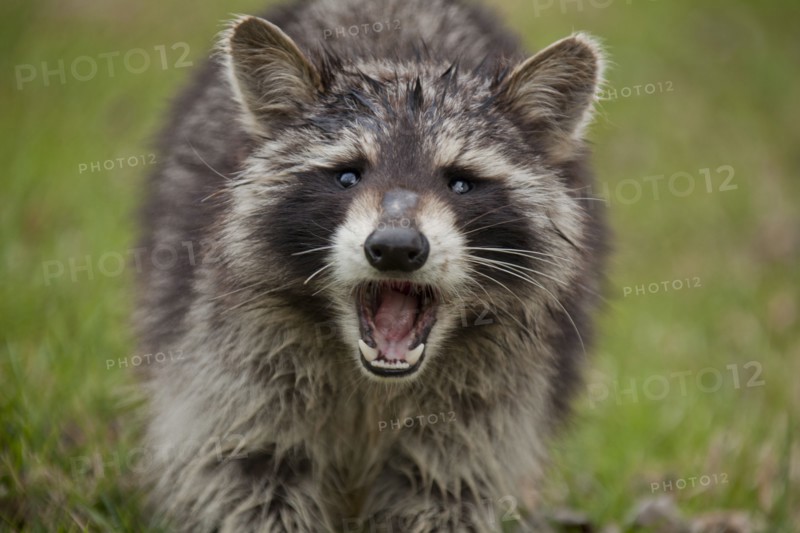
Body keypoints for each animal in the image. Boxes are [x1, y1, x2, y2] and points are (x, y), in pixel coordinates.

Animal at [135, 0, 607, 530]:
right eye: (348, 175)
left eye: (461, 183)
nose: (396, 247)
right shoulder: (237, 364)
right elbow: (244, 473)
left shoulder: (491, 400)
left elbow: (446, 489)